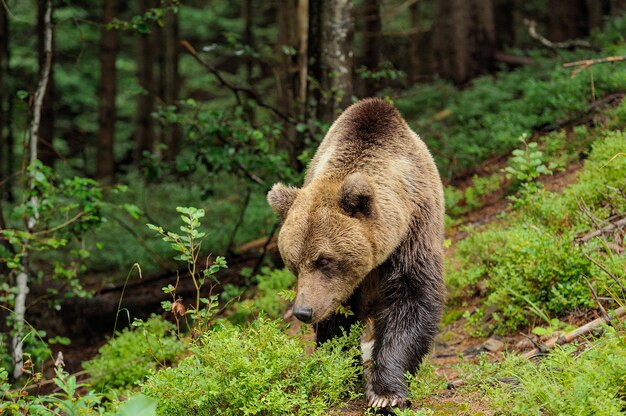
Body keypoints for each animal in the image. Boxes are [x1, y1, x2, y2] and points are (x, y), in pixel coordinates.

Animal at [266, 97, 442, 410]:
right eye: (293, 264)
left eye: (324, 260)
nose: (303, 311)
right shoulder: (339, 291)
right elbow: (338, 321)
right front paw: (342, 371)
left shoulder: (415, 232)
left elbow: (411, 301)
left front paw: (385, 393)